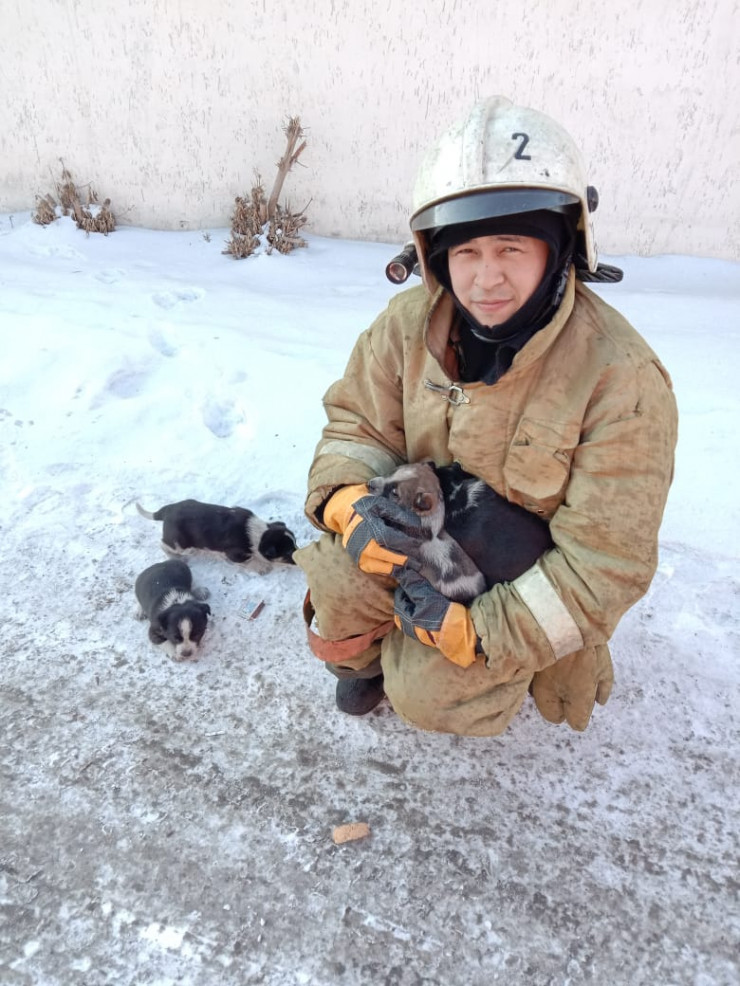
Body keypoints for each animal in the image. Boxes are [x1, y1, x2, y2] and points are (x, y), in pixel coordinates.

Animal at [136, 498, 297, 574]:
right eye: (288, 552)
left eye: (296, 543)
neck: (260, 535)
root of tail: (167, 510)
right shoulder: (235, 554)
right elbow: (249, 561)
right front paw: (262, 568)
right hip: (180, 544)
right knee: (163, 544)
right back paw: (175, 557)